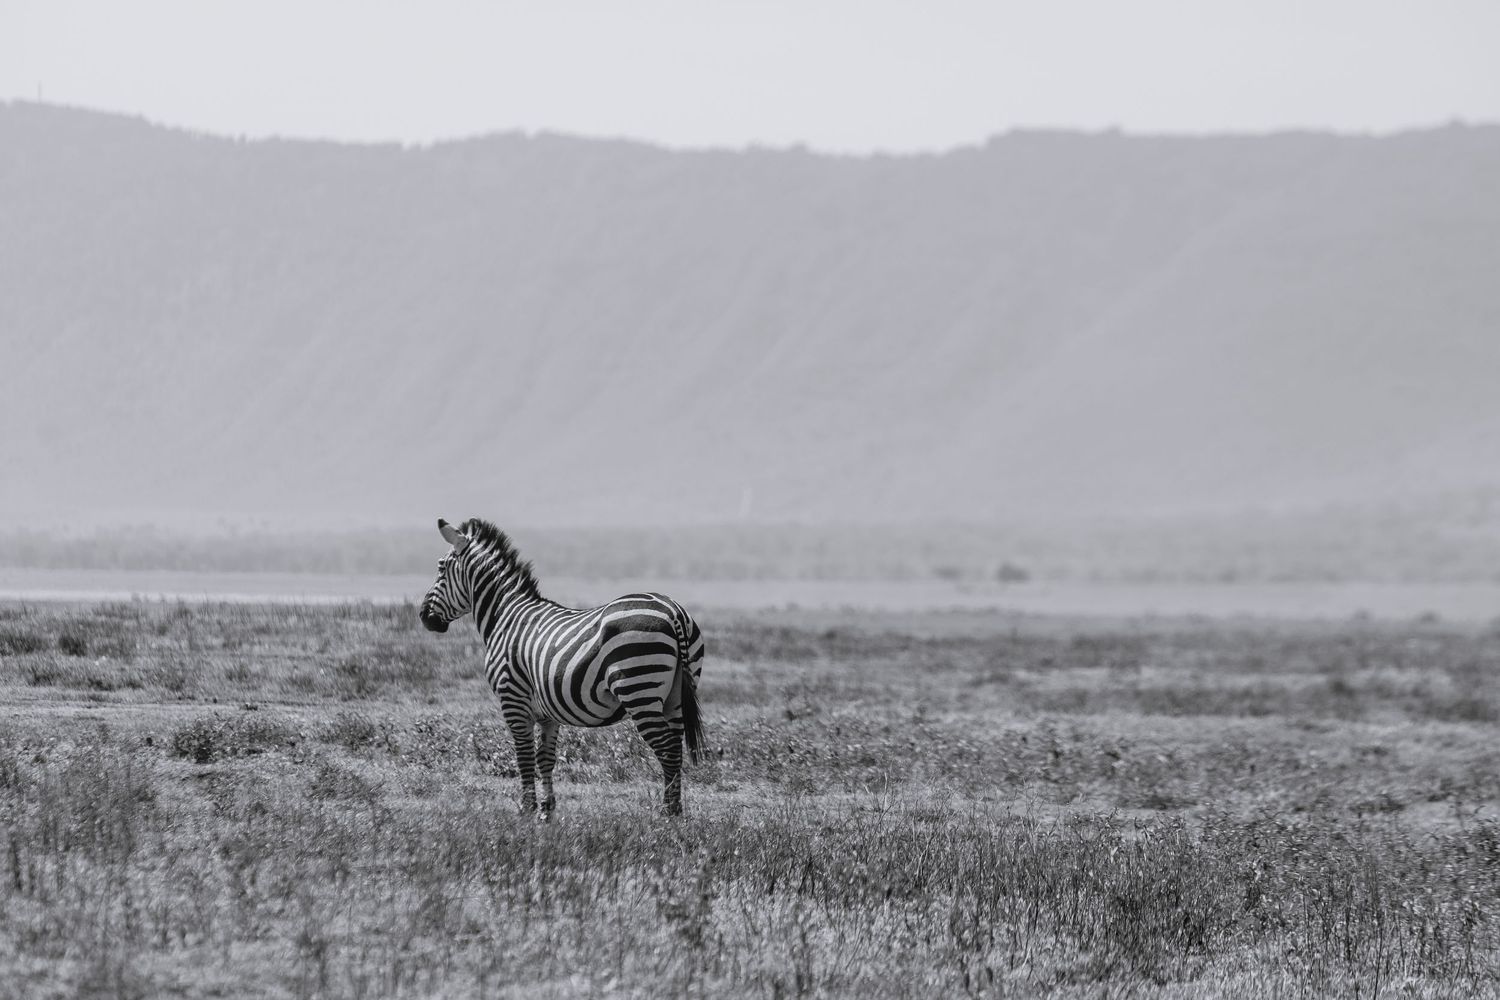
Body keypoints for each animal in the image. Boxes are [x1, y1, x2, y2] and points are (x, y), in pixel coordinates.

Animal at [418, 517, 706, 816]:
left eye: (441, 568)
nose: (424, 616)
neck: (505, 616)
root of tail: (673, 611)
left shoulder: (513, 699)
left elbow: (523, 756)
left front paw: (527, 810)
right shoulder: (547, 711)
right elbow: (545, 757)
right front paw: (547, 810)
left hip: (639, 688)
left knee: (667, 749)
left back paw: (667, 814)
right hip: (675, 695)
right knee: (675, 748)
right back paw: (675, 811)